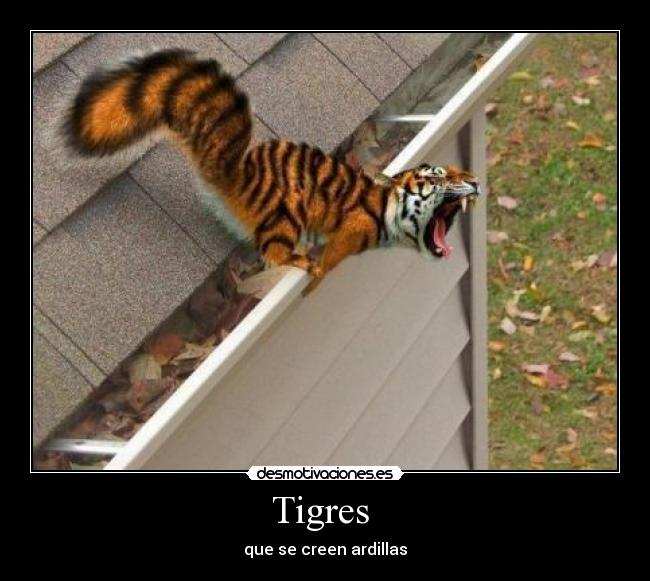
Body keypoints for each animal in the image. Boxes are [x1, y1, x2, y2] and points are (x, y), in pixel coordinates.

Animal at [63, 48, 481, 292]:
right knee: (274, 252)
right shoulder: (351, 227)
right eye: (437, 177)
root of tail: (233, 177)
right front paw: (319, 271)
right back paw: (298, 258)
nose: (475, 183)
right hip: (284, 215)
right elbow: (333, 254)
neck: (385, 209)